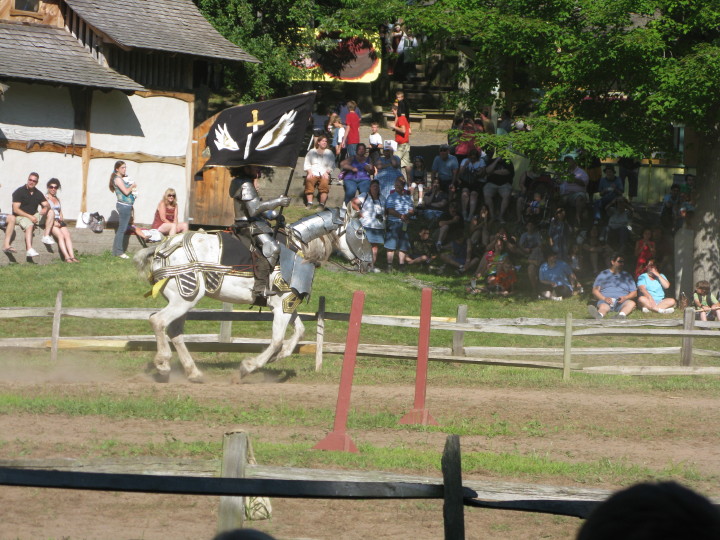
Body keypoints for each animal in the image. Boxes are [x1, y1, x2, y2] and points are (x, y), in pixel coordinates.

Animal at [135, 205, 372, 382]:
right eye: (360, 232)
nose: (369, 264)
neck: (300, 249)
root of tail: (162, 248)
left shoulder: (287, 303)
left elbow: (299, 332)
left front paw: (277, 358)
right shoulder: (282, 306)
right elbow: (277, 340)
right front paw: (248, 367)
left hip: (184, 300)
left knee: (174, 331)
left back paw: (193, 372)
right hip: (184, 298)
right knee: (158, 321)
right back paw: (163, 364)